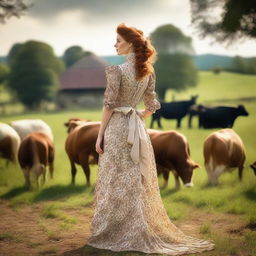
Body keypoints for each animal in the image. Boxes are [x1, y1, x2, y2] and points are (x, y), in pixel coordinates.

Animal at [64, 119, 198, 189]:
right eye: (186, 171)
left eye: (192, 172)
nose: (189, 185)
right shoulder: (166, 163)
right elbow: (171, 174)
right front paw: (169, 186)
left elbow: (173, 174)